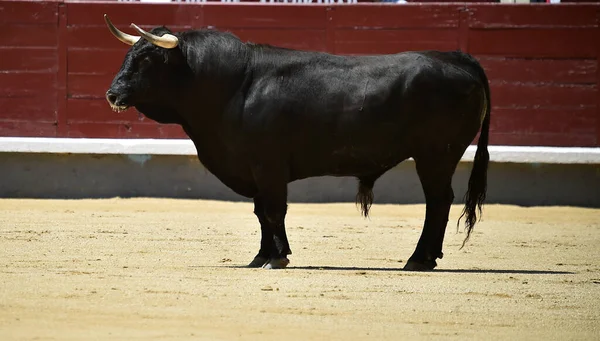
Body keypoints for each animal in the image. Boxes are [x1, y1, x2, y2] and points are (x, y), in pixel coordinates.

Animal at [104, 15, 488, 270]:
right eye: (128, 55)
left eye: (148, 59)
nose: (112, 93)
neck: (235, 85)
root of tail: (457, 57)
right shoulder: (252, 168)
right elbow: (261, 212)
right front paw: (262, 256)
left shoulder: (268, 165)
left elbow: (275, 210)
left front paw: (276, 258)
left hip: (436, 155)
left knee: (438, 201)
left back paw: (418, 259)